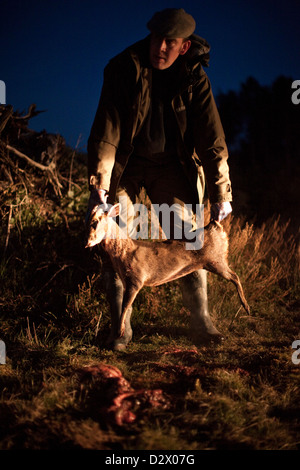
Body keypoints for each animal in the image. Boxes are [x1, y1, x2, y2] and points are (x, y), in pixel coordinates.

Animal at [85, 202, 250, 338]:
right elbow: (125, 304)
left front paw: (120, 332)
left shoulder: (136, 278)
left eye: (96, 222)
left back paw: (246, 307)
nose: (88, 242)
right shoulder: (126, 279)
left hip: (216, 258)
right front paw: (120, 331)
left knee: (235, 276)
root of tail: (214, 226)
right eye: (88, 222)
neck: (125, 253)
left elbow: (125, 305)